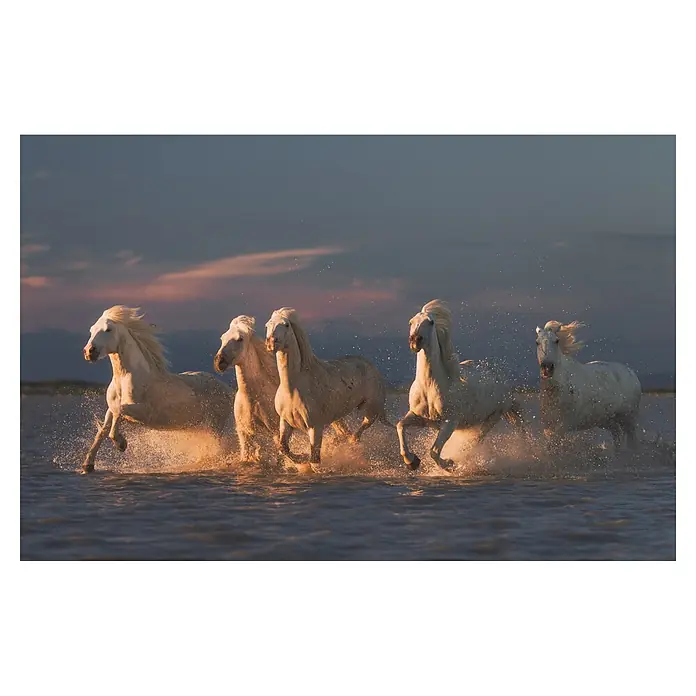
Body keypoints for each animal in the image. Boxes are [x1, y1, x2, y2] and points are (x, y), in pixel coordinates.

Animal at [81, 306, 233, 472]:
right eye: (91, 330)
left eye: (108, 329)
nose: (89, 352)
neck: (125, 379)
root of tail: (227, 389)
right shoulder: (111, 408)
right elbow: (103, 429)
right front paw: (87, 465)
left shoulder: (144, 412)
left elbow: (119, 413)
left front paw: (121, 444)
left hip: (215, 425)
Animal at [264, 307, 392, 471]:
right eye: (268, 325)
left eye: (286, 325)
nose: (271, 343)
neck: (293, 388)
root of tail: (370, 365)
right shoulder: (286, 422)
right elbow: (283, 448)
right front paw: (302, 458)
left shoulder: (315, 427)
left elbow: (315, 461)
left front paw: (307, 460)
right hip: (337, 417)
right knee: (343, 432)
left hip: (371, 408)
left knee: (363, 425)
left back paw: (352, 442)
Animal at [396, 299, 527, 471]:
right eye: (411, 322)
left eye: (430, 322)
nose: (415, 341)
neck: (430, 387)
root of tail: (503, 381)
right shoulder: (419, 417)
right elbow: (400, 426)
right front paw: (412, 461)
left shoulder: (450, 422)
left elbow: (434, 452)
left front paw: (449, 464)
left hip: (493, 416)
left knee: (475, 441)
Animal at [536, 320, 641, 450]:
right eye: (537, 342)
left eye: (556, 341)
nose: (547, 368)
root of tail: (631, 373)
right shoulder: (548, 427)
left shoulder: (564, 425)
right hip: (609, 421)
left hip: (629, 419)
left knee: (633, 441)